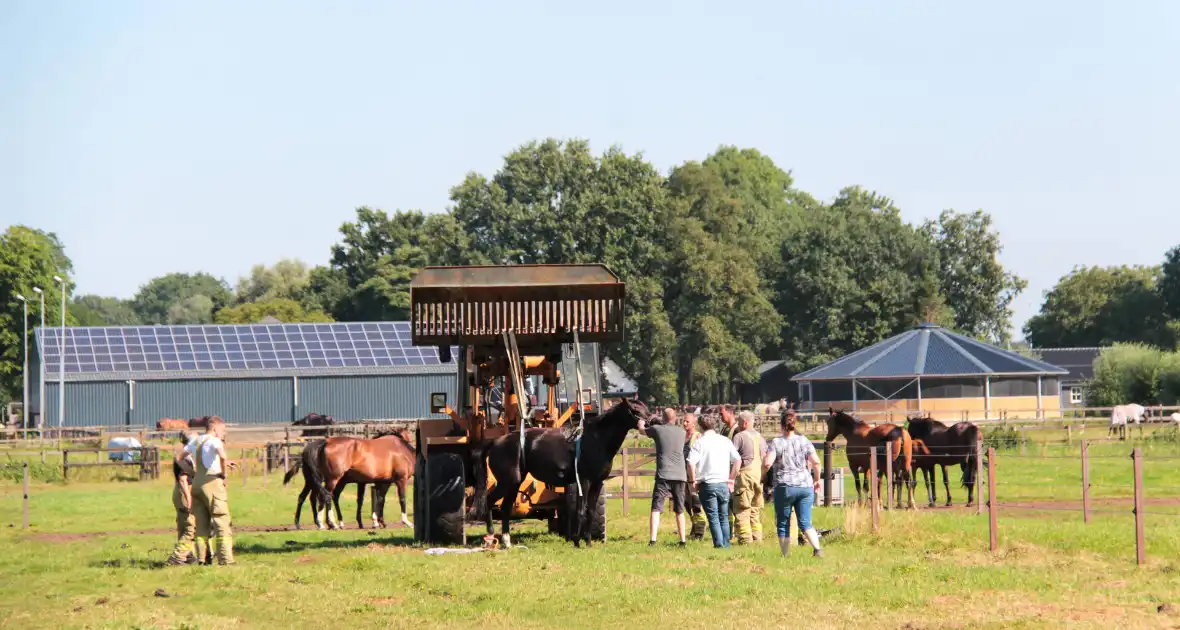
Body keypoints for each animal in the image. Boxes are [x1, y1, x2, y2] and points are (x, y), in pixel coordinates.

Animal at [474, 403, 651, 549]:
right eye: (635, 410)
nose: (651, 421)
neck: (595, 440)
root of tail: (495, 442)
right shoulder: (584, 481)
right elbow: (581, 510)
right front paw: (577, 541)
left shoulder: (597, 483)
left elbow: (591, 511)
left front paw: (587, 541)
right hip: (507, 482)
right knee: (490, 501)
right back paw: (491, 537)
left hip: (514, 483)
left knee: (505, 507)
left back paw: (506, 541)